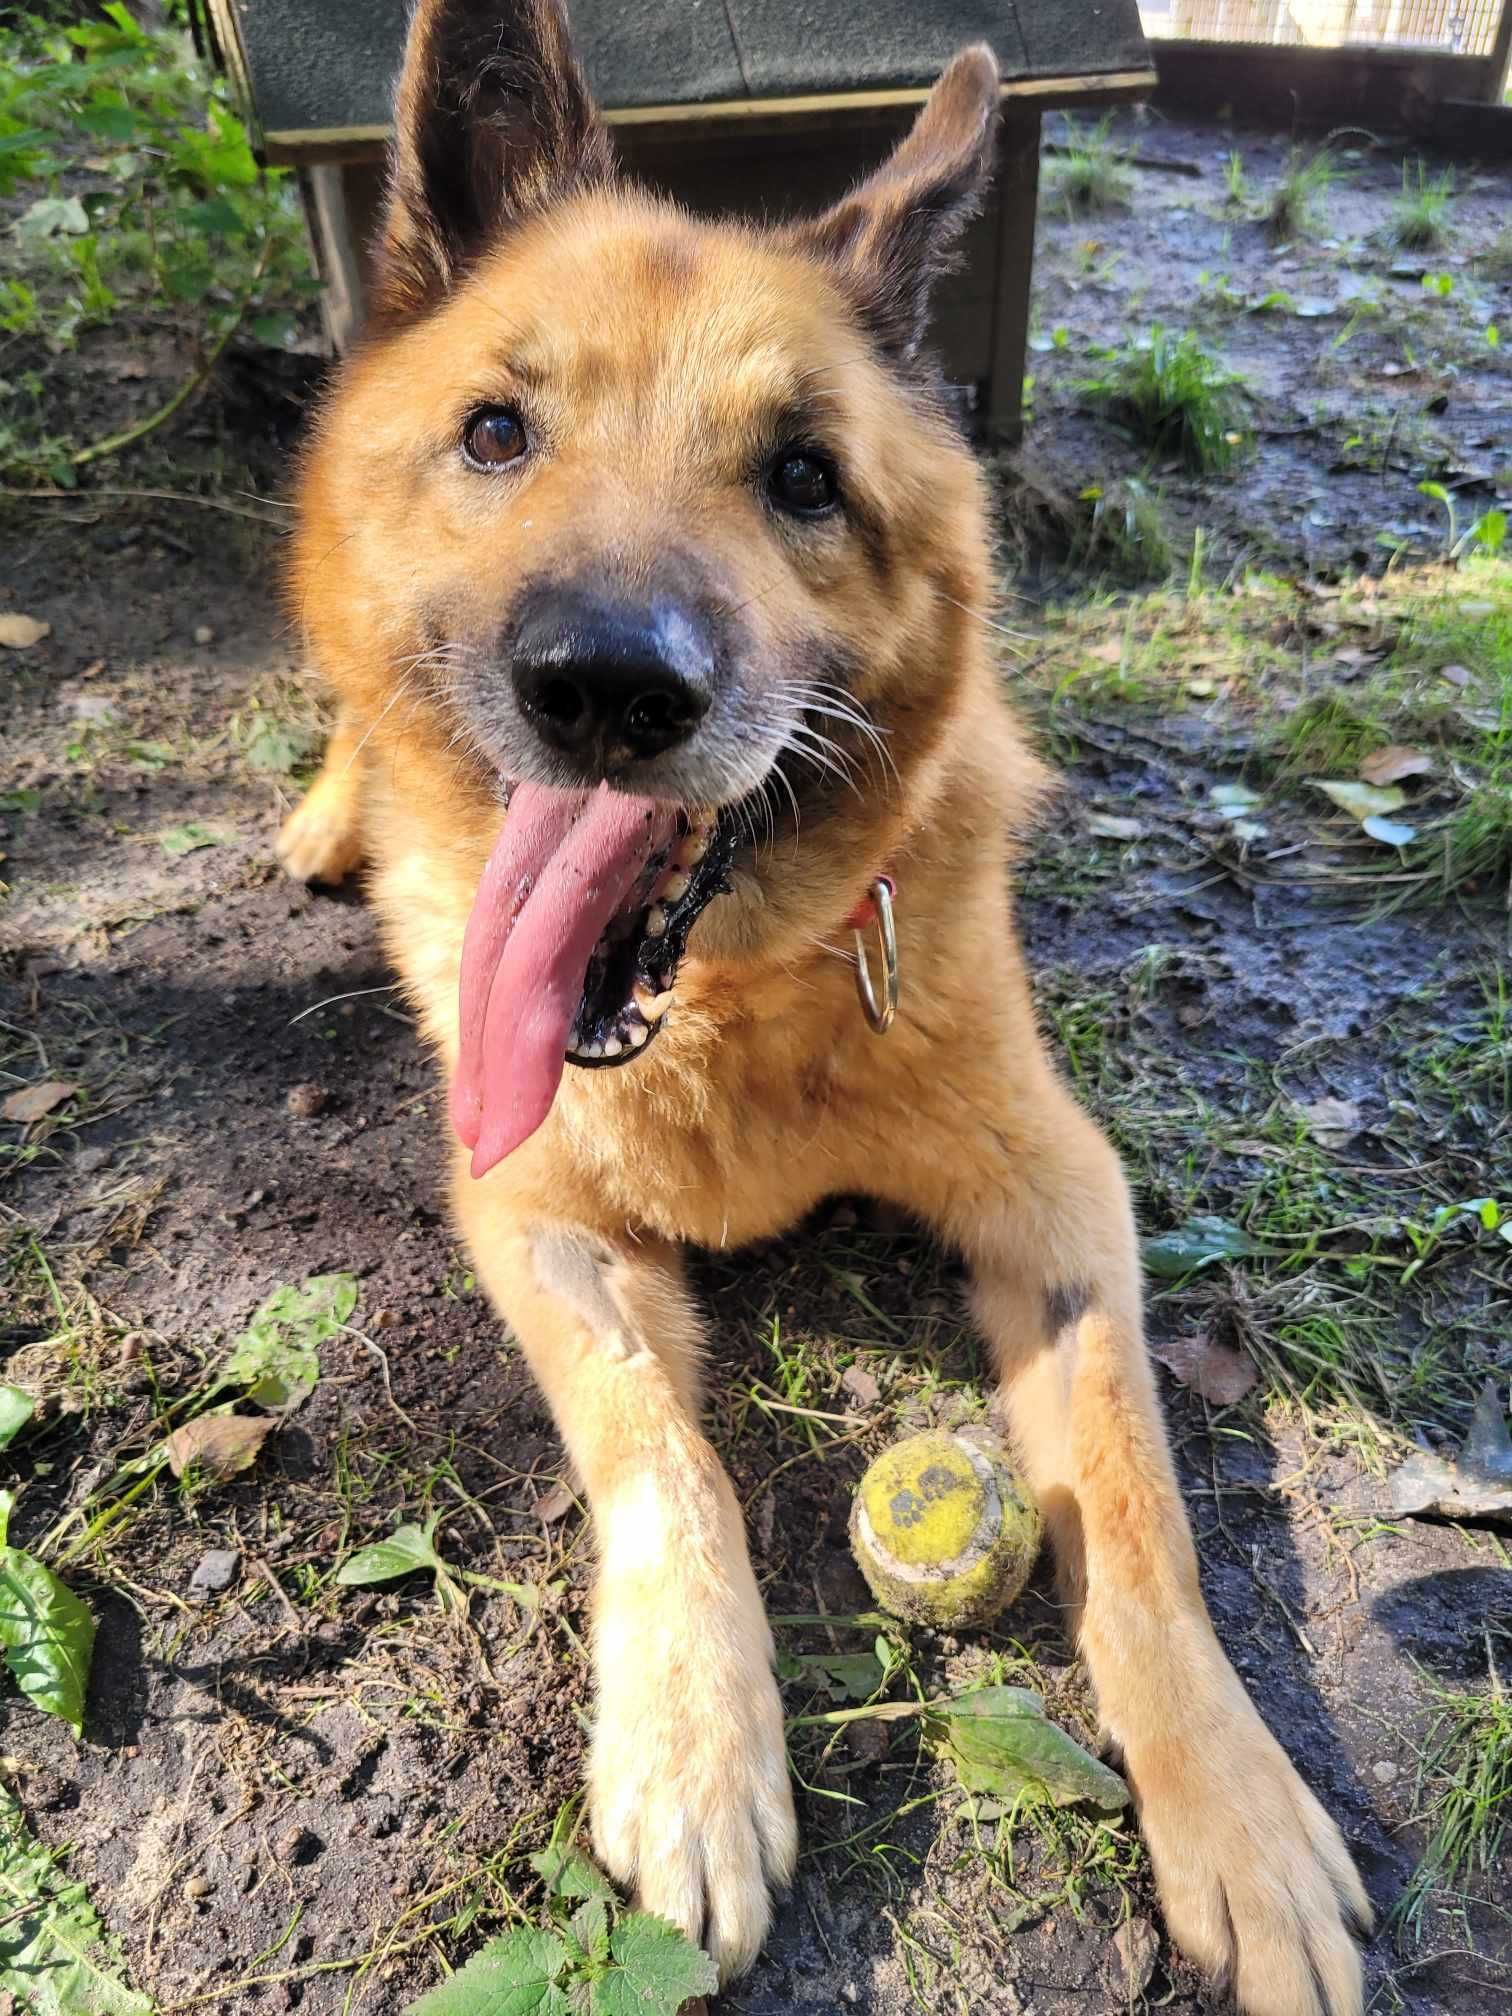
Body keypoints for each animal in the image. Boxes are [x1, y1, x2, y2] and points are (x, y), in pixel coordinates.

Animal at [282, 7, 1370, 2007]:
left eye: (801, 477)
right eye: (498, 432)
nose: (604, 690)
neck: (726, 1006)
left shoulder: (1062, 1201)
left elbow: (1139, 1511)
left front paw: (1239, 1809)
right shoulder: (529, 1210)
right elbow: (666, 1459)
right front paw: (697, 1748)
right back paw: (333, 807)